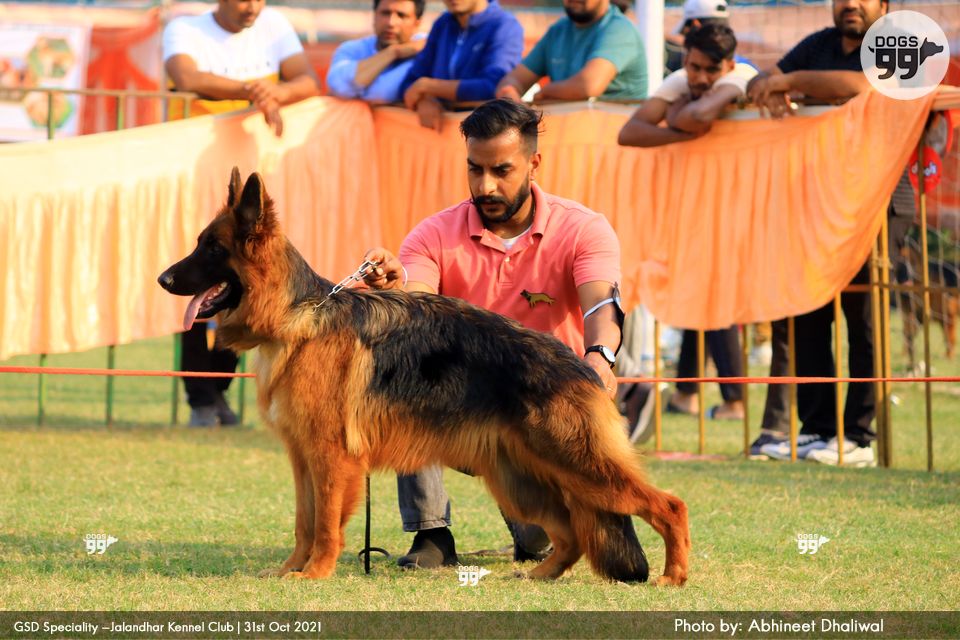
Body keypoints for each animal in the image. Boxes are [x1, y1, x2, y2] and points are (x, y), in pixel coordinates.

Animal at [158, 169, 690, 585]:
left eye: (211, 248)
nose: (162, 280)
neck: (295, 316)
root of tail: (581, 366)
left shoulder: (330, 458)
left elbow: (326, 523)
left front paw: (315, 573)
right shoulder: (302, 457)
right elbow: (304, 521)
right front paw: (292, 568)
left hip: (579, 466)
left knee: (667, 505)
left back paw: (673, 575)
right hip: (521, 480)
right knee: (572, 532)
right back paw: (540, 574)